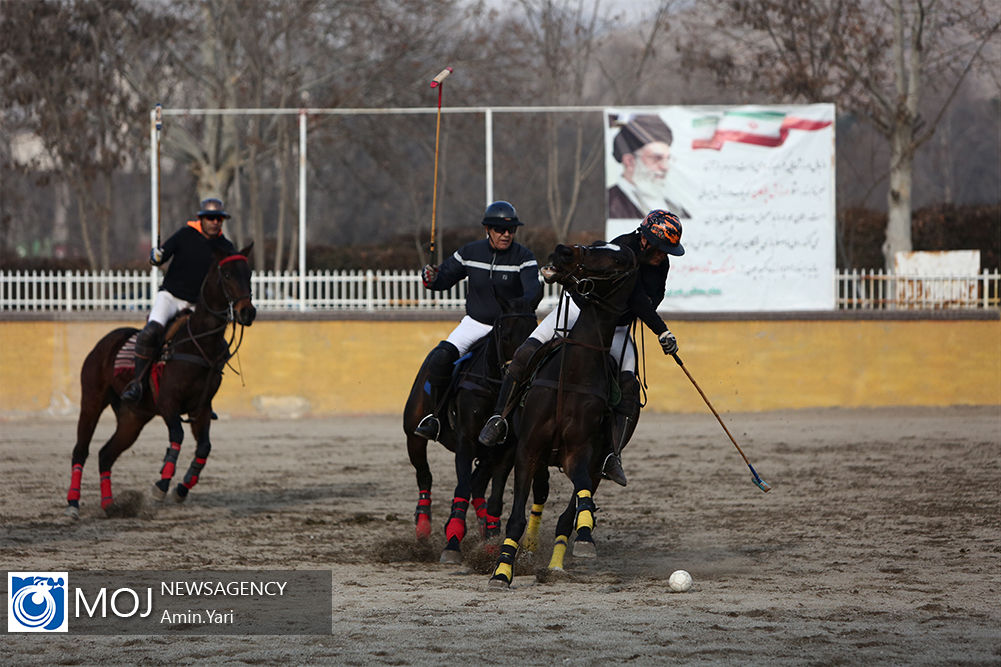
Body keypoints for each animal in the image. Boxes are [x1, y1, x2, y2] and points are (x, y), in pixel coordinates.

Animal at [65, 241, 256, 516]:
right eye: (228, 274)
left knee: (105, 454)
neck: (198, 344)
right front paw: (161, 486)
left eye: (248, 273)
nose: (247, 312)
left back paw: (110, 504)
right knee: (81, 450)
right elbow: (177, 436)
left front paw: (181, 488)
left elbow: (204, 448)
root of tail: (103, 343)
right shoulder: (168, 403)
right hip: (92, 400)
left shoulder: (201, 408)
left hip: (133, 417)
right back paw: (72, 504)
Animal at [488, 241, 636, 584]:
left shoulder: (580, 453)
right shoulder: (528, 448)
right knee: (528, 489)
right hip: (525, 448)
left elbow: (579, 500)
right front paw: (502, 571)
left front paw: (584, 536)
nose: (562, 251)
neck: (572, 375)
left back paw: (557, 560)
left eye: (618, 260)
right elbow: (515, 517)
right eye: (596, 245)